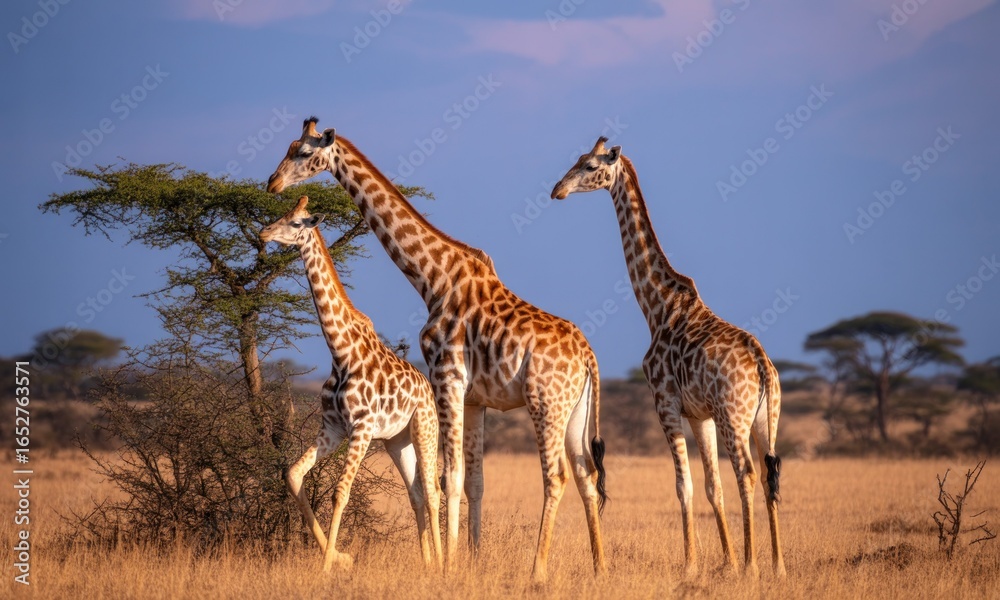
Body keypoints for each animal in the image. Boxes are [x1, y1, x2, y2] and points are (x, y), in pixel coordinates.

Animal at [260, 196, 442, 572]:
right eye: (282, 213)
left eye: (296, 222)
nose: (264, 232)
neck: (341, 352)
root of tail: (426, 387)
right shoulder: (332, 428)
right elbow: (294, 475)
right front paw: (340, 557)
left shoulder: (361, 428)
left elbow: (339, 492)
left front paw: (327, 566)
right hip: (396, 441)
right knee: (416, 493)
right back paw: (427, 562)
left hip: (424, 428)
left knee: (433, 492)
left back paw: (448, 563)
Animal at [551, 137, 785, 578]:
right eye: (576, 159)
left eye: (589, 165)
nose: (557, 190)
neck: (657, 306)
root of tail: (764, 366)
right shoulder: (699, 414)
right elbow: (711, 486)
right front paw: (725, 562)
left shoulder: (665, 402)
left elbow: (684, 485)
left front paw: (693, 564)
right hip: (767, 418)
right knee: (768, 473)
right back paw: (778, 566)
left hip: (734, 416)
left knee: (746, 473)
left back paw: (754, 565)